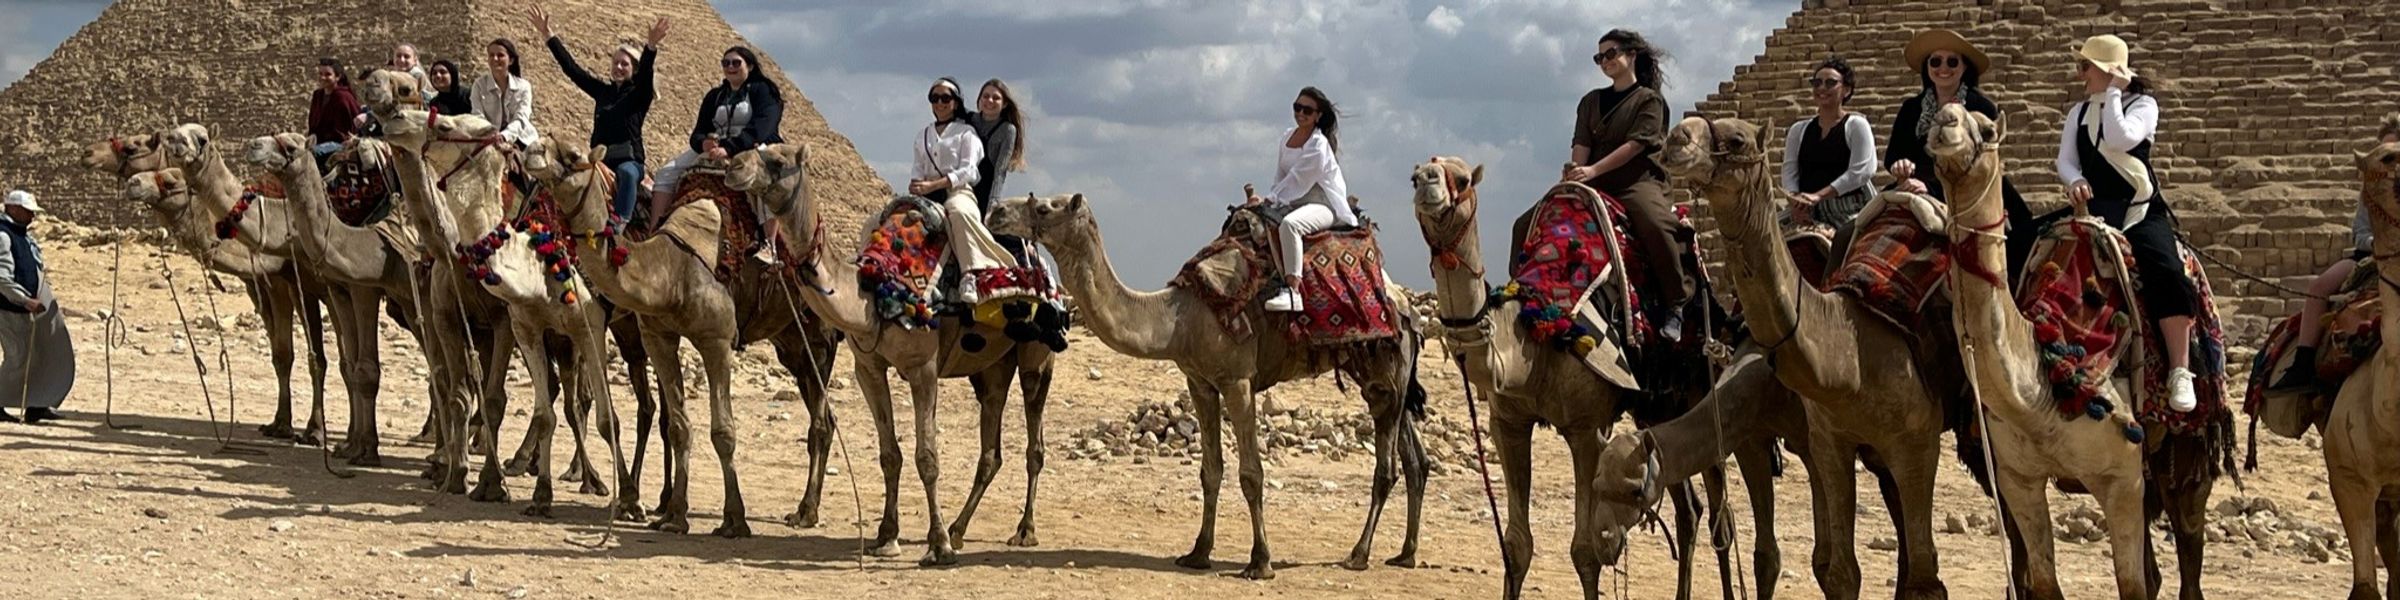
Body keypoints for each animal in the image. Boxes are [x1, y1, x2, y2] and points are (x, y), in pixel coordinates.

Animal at [83, 126, 333, 446]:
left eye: (133, 146)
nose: (88, 153)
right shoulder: (261, 286)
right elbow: (281, 355)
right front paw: (279, 424)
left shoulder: (294, 284)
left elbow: (317, 359)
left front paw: (314, 431)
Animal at [988, 189, 1420, 578]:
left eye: (1045, 206)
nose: (996, 211)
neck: (1179, 319)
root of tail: (1403, 304)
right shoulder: (1199, 381)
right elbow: (1210, 470)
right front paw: (1198, 553)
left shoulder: (1238, 380)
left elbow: (1251, 473)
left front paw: (1260, 562)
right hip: (1379, 373)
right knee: (1414, 457)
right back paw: (1405, 554)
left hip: (1386, 362)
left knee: (1387, 465)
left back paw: (1359, 554)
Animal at [1401, 157, 1728, 597]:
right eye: (1415, 175)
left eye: (1464, 178)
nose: (1427, 185)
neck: (1533, 339)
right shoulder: (1507, 424)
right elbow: (1515, 544)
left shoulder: (1586, 428)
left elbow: (1586, 549)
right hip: (1656, 408)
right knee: (1688, 509)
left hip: (1699, 387)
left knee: (1720, 516)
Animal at [1660, 117, 1977, 600]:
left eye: (1736, 140)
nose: (1674, 140)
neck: (1848, 357)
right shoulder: (1811, 440)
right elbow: (1827, 569)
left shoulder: (1914, 443)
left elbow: (1923, 582)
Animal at [1929, 103, 2160, 600]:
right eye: (1931, 118)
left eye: (1987, 128)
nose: (1944, 120)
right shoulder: (2018, 480)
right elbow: (2044, 581)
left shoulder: (2123, 478)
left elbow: (2131, 585)